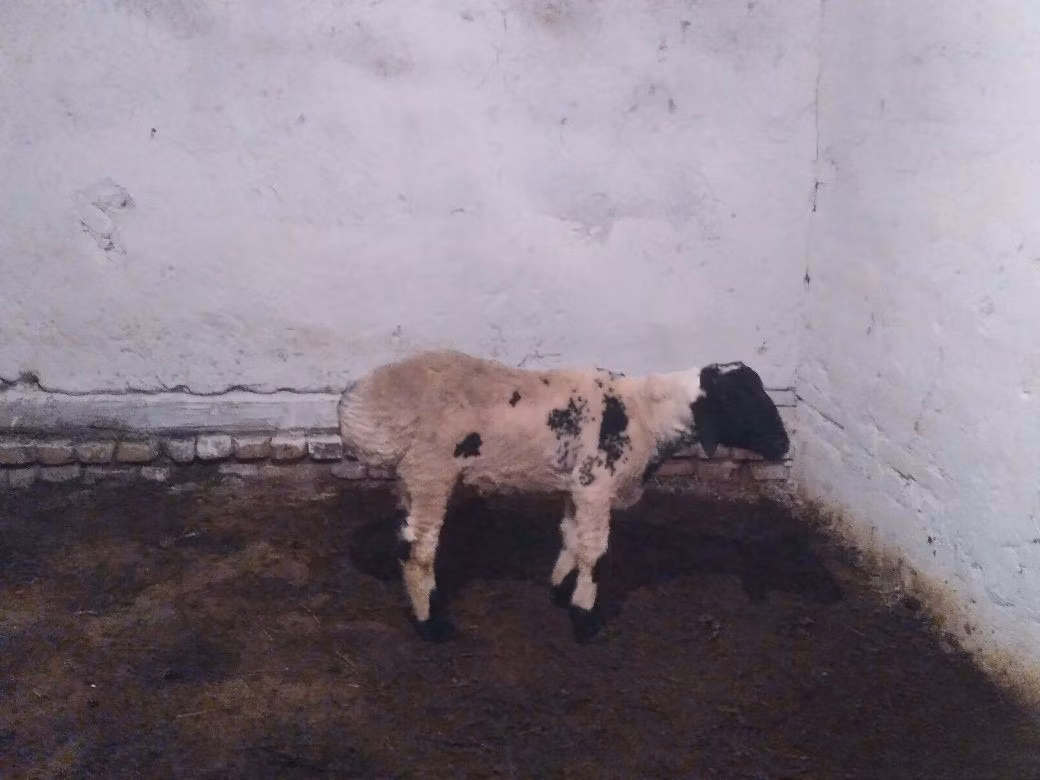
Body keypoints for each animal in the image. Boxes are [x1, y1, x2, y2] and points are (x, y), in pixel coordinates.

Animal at [337, 348, 790, 644]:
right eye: (735, 399)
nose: (784, 446)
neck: (647, 415)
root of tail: (357, 404)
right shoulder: (596, 484)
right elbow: (595, 552)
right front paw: (584, 617)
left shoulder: (578, 485)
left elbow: (571, 536)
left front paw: (559, 590)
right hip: (430, 472)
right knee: (418, 550)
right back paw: (431, 625)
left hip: (411, 480)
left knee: (405, 542)